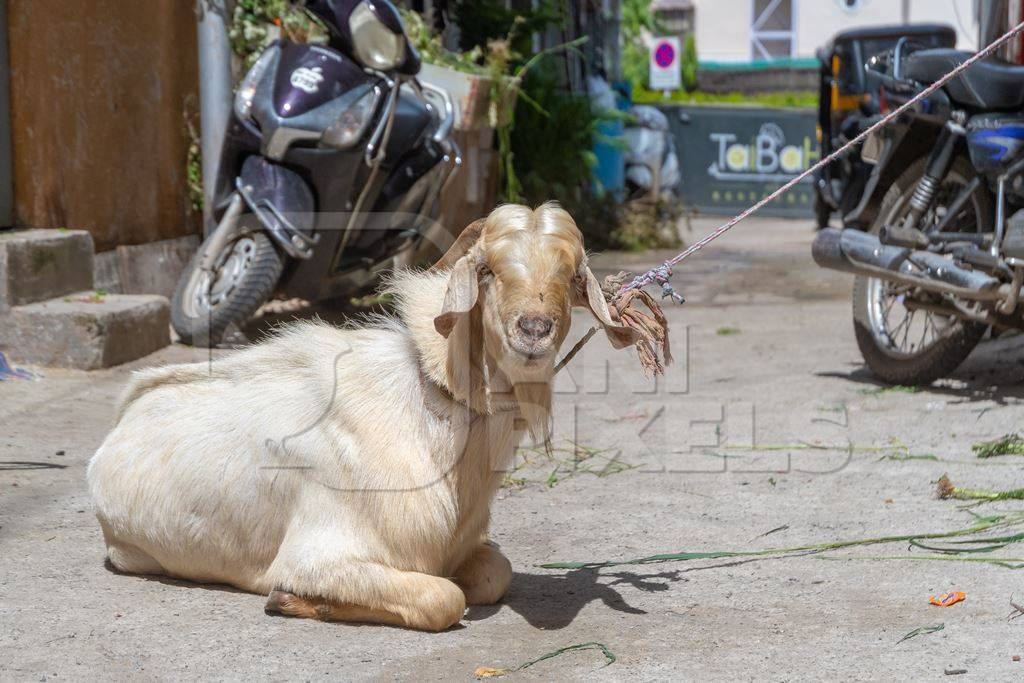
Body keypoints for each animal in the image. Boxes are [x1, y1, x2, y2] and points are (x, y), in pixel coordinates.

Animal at [88, 201, 634, 630]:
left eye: (571, 274)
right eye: (488, 271)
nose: (534, 329)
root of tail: (127, 412)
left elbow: (495, 574)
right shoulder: (318, 555)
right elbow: (442, 597)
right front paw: (291, 600)